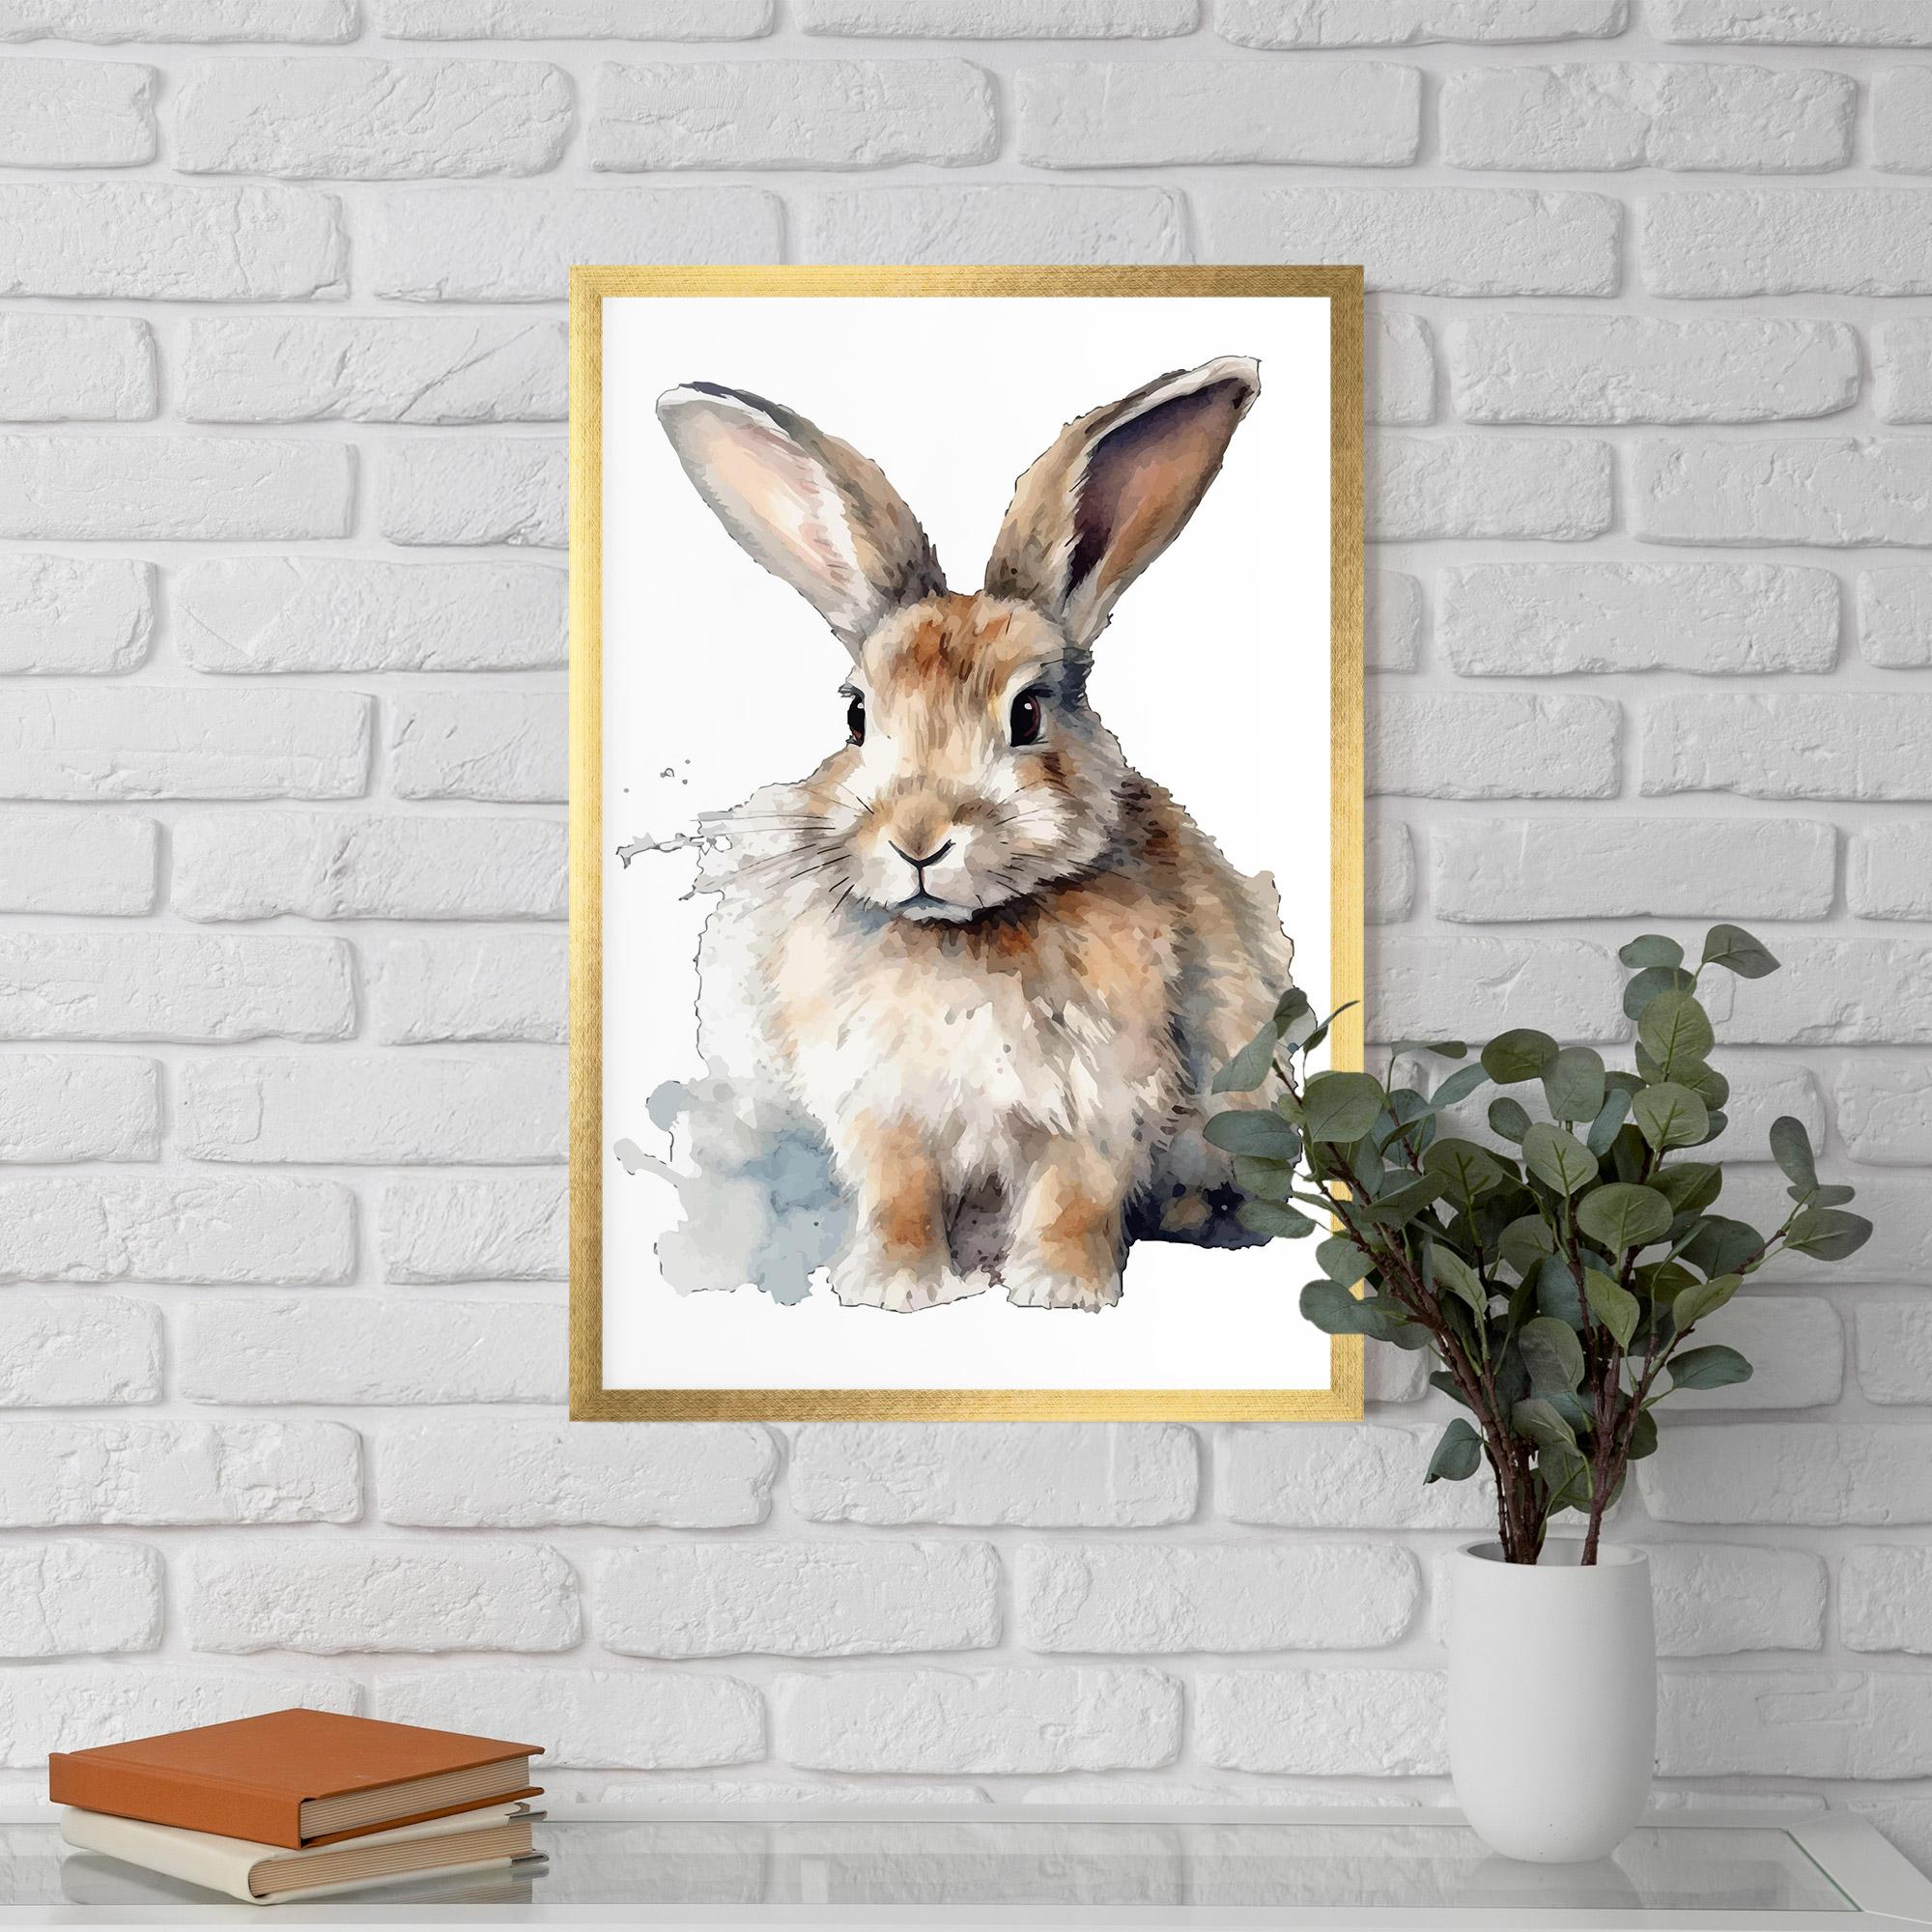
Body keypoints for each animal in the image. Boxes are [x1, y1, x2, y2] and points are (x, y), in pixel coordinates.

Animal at [654, 357, 1295, 1314]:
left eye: (1027, 714)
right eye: (856, 717)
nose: (918, 839)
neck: (963, 935)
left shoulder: (1102, 1102)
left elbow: (1074, 1196)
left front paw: (1061, 1291)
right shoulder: (887, 1110)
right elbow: (901, 1196)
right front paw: (891, 1288)